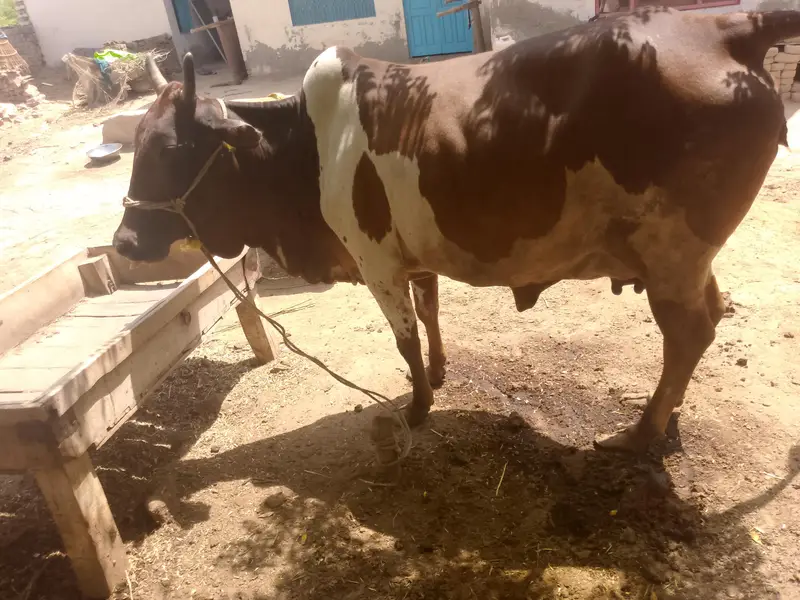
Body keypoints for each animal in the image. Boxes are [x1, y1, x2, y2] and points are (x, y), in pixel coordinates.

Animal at [113, 8, 799, 455]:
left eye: (170, 150)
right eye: (137, 144)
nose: (124, 243)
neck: (305, 146)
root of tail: (725, 26)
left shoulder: (375, 261)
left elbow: (405, 339)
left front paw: (417, 407)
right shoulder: (412, 258)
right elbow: (431, 313)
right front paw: (440, 376)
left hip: (672, 255)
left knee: (689, 334)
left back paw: (643, 432)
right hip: (684, 260)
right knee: (708, 319)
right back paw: (667, 418)